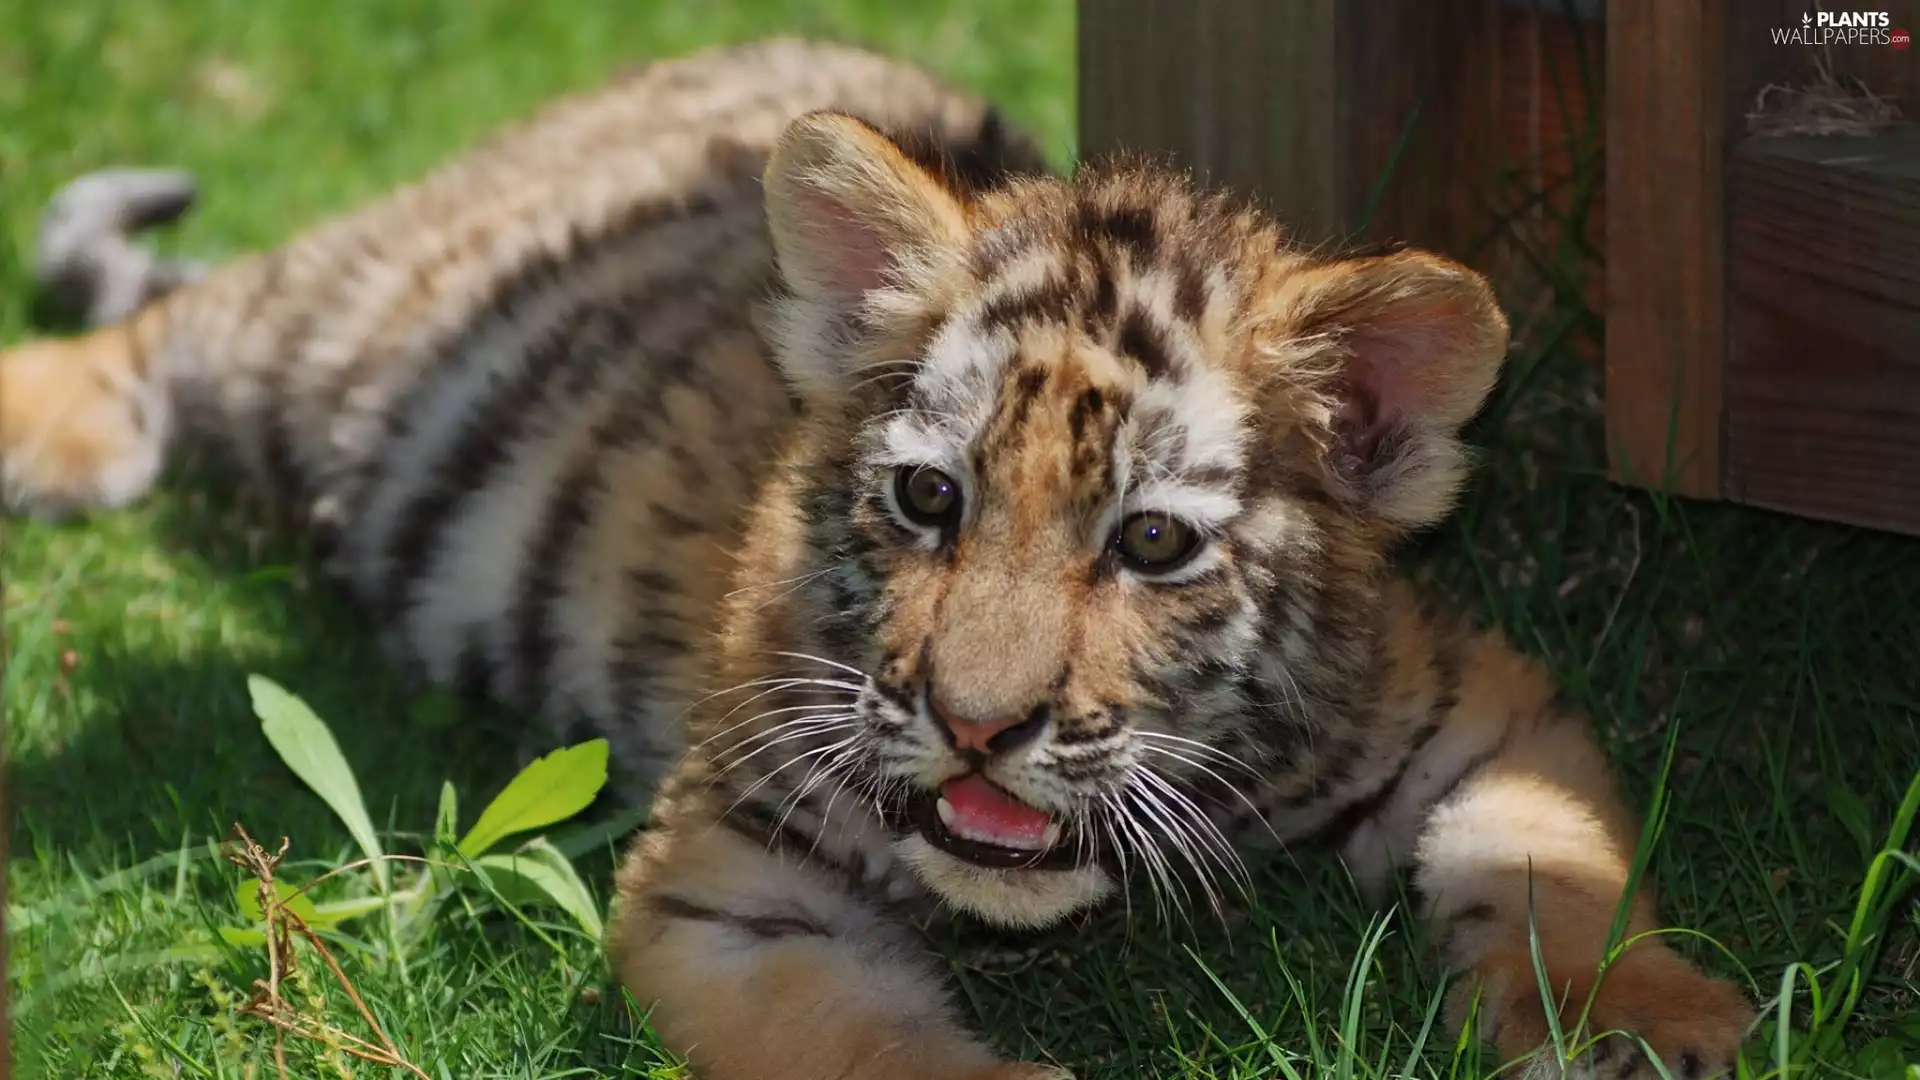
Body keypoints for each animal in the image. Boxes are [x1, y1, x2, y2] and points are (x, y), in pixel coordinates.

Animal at [0, 36, 1754, 1080]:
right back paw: (43, 433)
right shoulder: (729, 887)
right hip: (345, 328)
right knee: (168, 327)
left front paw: (1648, 1025)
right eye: (927, 502)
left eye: (1152, 540)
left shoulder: (1476, 706)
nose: (980, 730)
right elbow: (867, 1045)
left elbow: (1551, 867)